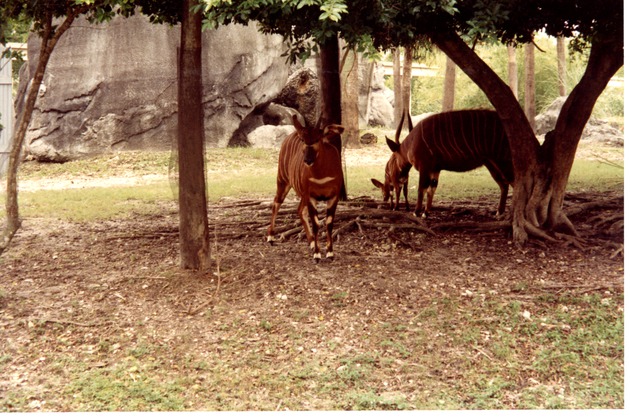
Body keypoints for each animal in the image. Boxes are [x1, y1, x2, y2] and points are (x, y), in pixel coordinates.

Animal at [266, 115, 346, 262]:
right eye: (303, 140)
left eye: (317, 139)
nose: (308, 160)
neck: (321, 176)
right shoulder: (311, 197)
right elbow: (316, 224)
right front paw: (317, 255)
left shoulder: (333, 196)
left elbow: (329, 223)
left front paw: (330, 253)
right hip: (282, 180)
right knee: (276, 203)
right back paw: (271, 237)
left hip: (301, 193)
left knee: (299, 210)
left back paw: (311, 242)